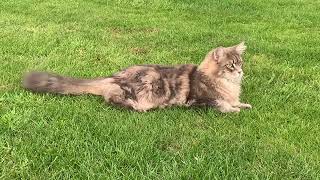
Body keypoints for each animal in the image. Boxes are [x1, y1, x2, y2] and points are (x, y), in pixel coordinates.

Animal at [22, 42, 252, 112]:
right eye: (231, 65)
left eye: (240, 63)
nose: (241, 72)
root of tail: (112, 77)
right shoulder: (198, 100)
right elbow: (221, 104)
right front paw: (234, 110)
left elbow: (235, 102)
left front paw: (243, 105)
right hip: (139, 88)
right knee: (111, 99)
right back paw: (136, 107)